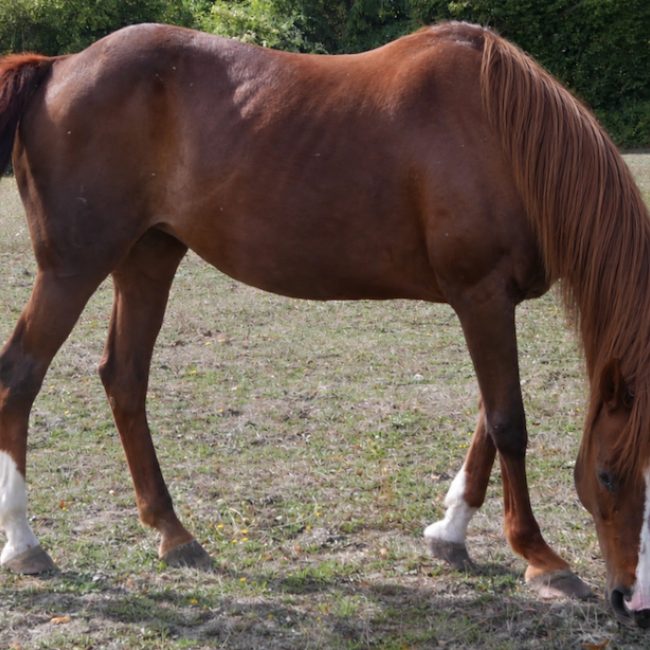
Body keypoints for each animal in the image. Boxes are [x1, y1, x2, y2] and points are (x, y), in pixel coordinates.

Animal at [0, 20, 649, 627]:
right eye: (609, 476)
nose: (631, 601)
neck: (503, 138)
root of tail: (57, 67)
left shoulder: (493, 303)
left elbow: (487, 422)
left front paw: (450, 532)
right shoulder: (481, 296)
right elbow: (508, 423)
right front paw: (543, 560)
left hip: (148, 258)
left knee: (124, 379)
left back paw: (174, 534)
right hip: (74, 267)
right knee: (20, 376)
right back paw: (25, 544)